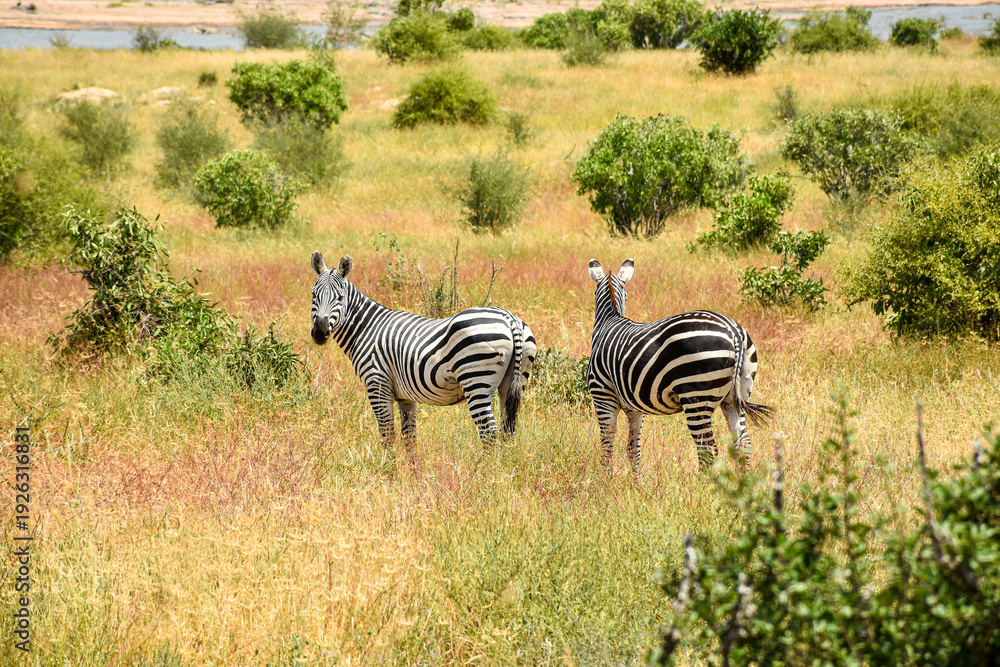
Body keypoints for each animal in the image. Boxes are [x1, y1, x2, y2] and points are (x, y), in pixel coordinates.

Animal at [310, 251, 536, 464]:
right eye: (313, 295)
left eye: (340, 298)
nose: (319, 332)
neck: (366, 328)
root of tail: (509, 318)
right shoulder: (405, 396)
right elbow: (409, 437)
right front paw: (412, 472)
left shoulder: (377, 385)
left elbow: (387, 436)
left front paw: (388, 470)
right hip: (514, 381)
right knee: (508, 430)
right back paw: (504, 469)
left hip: (476, 381)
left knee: (490, 432)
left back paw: (484, 471)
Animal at [586, 258, 771, 480]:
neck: (609, 320)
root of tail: (733, 331)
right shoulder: (634, 408)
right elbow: (633, 449)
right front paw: (635, 483)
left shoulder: (603, 396)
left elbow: (607, 445)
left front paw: (603, 482)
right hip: (736, 396)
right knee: (742, 443)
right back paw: (742, 485)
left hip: (696, 397)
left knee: (708, 449)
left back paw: (701, 486)